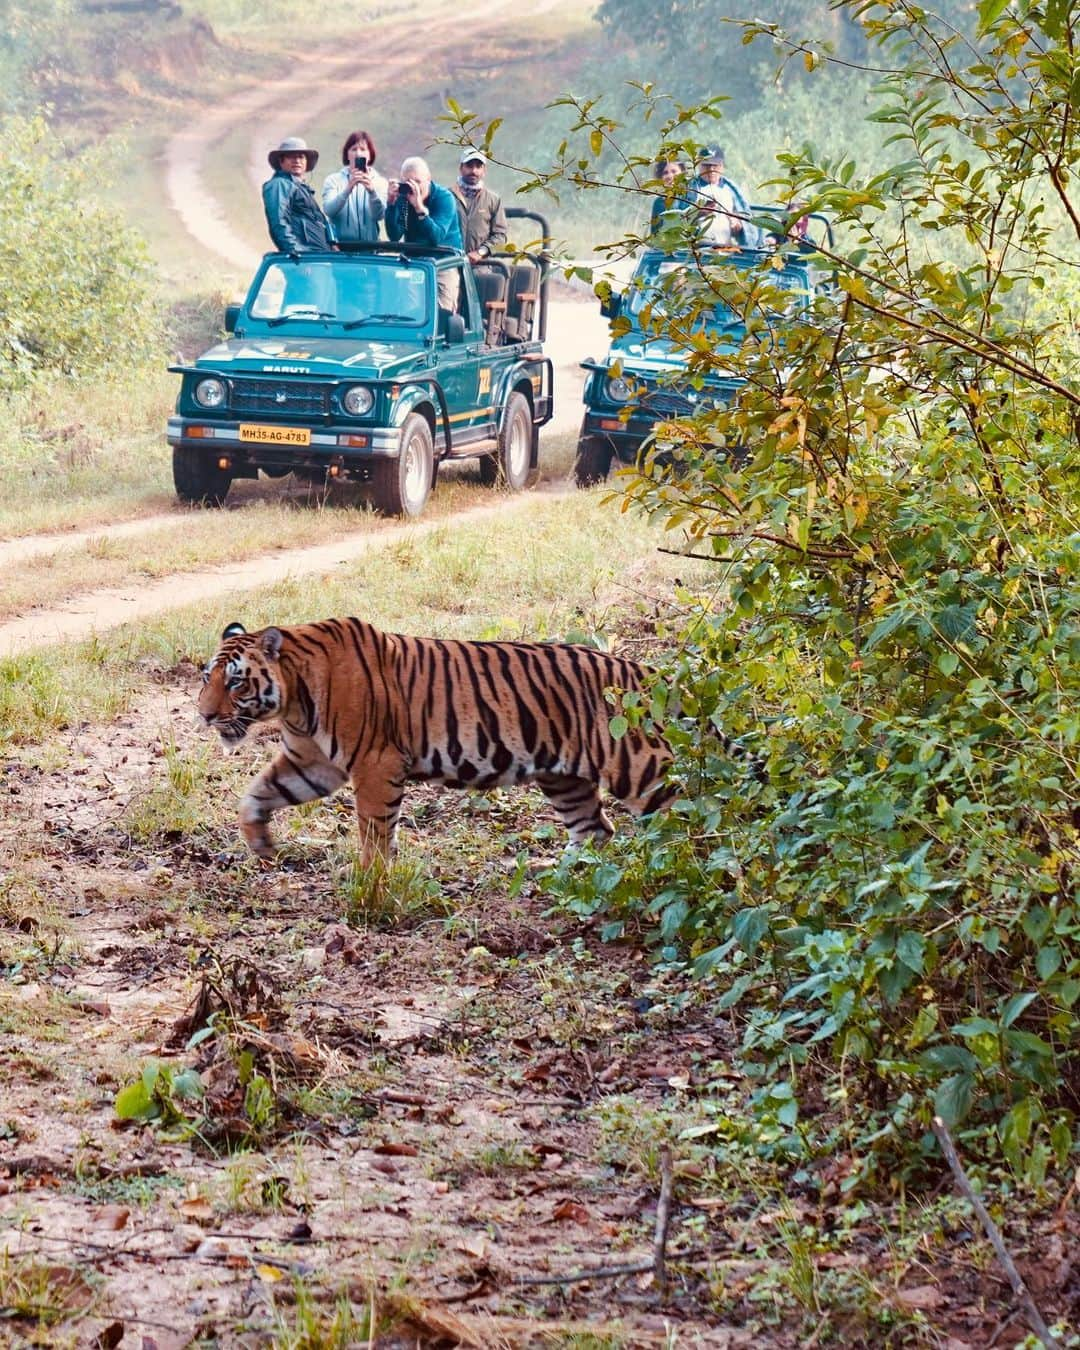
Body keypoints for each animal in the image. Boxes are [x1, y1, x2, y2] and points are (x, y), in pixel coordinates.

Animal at [198, 615, 675, 858]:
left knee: (682, 817)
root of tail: (647, 673)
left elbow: (374, 832)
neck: (294, 699)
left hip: (642, 769)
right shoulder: (312, 763)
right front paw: (260, 843)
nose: (204, 716)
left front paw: (372, 881)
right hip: (564, 780)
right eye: (207, 677)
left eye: (236, 682)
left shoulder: (376, 763)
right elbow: (258, 793)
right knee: (594, 830)